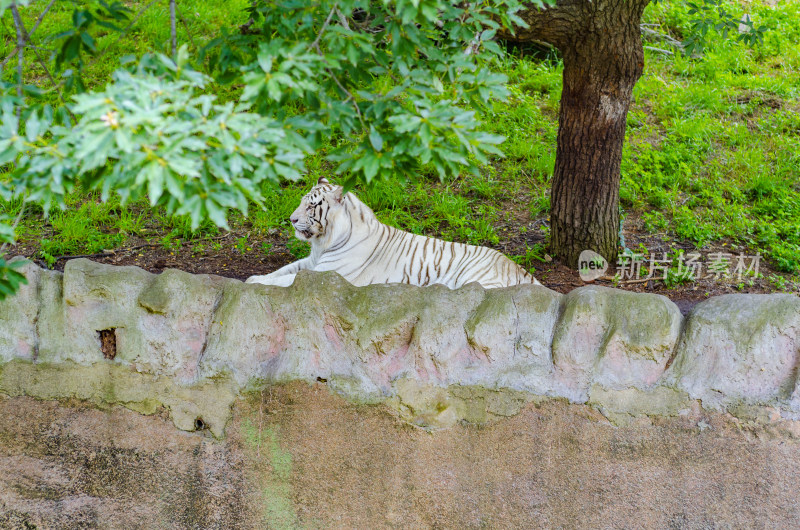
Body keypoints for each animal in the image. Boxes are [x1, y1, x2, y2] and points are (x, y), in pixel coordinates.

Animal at [247, 177, 540, 286]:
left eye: (311, 205)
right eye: (302, 201)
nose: (291, 219)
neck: (323, 242)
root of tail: (519, 268)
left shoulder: (327, 273)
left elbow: (287, 280)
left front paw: (255, 283)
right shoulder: (311, 262)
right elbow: (284, 270)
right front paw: (254, 277)